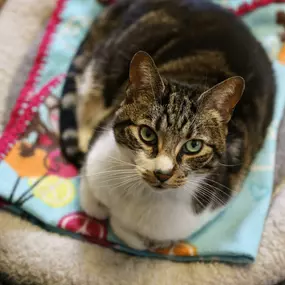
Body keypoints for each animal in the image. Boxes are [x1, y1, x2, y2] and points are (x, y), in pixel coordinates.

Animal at [58, 0, 274, 248]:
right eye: (147, 134)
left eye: (193, 146)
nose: (162, 173)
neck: (139, 194)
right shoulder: (96, 157)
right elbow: (91, 200)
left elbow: (134, 236)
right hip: (108, 64)